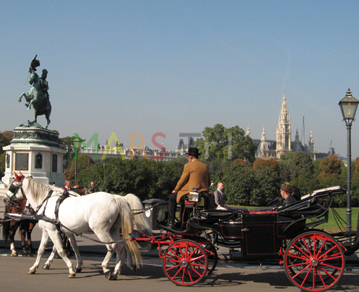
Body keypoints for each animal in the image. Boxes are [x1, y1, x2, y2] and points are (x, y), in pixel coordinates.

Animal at [4, 176, 143, 278]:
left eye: (12, 186)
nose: (5, 199)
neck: (47, 202)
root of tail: (115, 198)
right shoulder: (58, 231)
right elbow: (44, 249)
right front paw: (34, 267)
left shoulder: (53, 231)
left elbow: (59, 249)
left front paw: (70, 268)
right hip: (113, 229)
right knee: (120, 246)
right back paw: (116, 270)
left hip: (101, 230)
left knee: (112, 246)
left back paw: (107, 268)